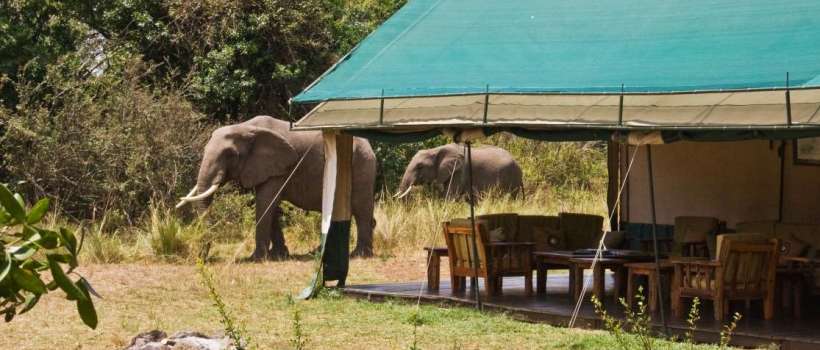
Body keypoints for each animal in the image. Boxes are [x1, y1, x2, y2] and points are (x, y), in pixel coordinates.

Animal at [178, 115, 376, 260]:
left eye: (230, 154)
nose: (201, 259)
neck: (245, 127)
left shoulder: (280, 167)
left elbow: (265, 202)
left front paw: (256, 259)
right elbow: (270, 205)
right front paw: (278, 256)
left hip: (362, 165)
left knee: (361, 209)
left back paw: (359, 255)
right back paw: (317, 253)